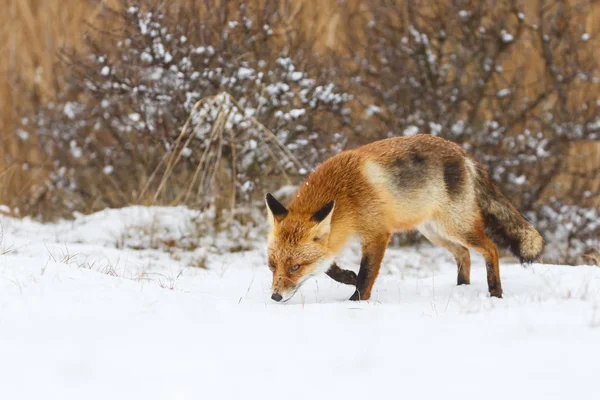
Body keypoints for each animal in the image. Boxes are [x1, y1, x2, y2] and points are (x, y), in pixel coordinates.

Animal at [266, 133, 544, 302]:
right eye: (272, 265)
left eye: (295, 267)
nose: (275, 297)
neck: (345, 195)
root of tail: (463, 153)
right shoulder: (337, 237)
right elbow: (329, 266)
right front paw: (347, 277)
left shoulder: (378, 233)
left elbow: (366, 275)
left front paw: (356, 302)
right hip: (434, 232)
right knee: (463, 255)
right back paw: (460, 288)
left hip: (457, 226)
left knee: (491, 248)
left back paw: (495, 291)